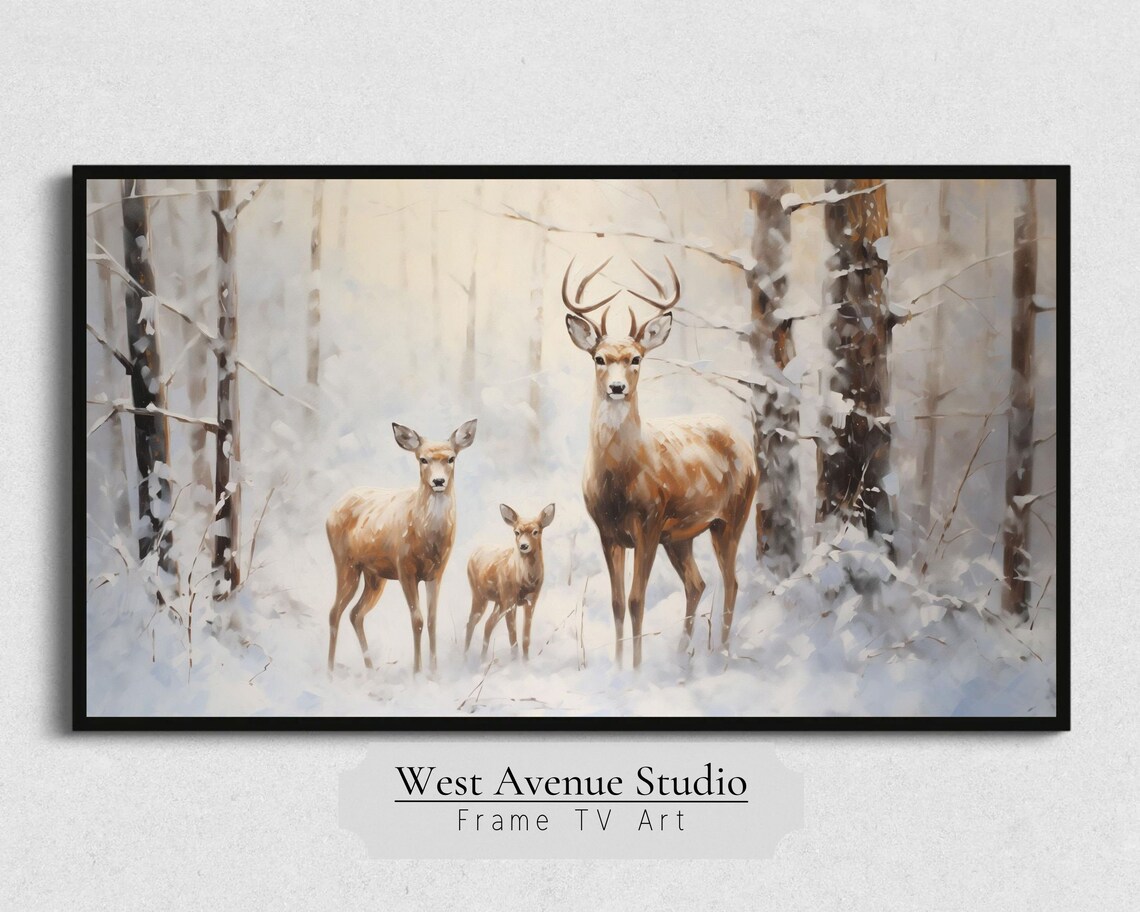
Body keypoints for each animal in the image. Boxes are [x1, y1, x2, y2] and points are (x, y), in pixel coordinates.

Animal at [325, 419, 478, 674]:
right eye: (423, 459)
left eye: (451, 458)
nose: (438, 481)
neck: (428, 539)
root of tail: (331, 511)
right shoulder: (405, 568)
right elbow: (417, 620)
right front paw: (417, 673)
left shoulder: (436, 573)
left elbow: (432, 620)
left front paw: (434, 672)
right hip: (346, 563)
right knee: (334, 612)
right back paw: (330, 672)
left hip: (374, 576)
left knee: (355, 614)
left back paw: (370, 669)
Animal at [464, 503, 556, 661]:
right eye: (516, 532)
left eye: (536, 531)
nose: (523, 546)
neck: (525, 580)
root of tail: (473, 553)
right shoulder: (510, 601)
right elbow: (513, 638)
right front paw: (515, 663)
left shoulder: (531, 600)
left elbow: (525, 638)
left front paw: (525, 662)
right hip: (480, 595)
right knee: (471, 623)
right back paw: (465, 658)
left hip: (498, 602)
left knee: (488, 624)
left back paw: (482, 659)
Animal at [562, 257, 758, 669]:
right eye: (599, 358)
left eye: (636, 358)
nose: (617, 387)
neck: (619, 479)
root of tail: (743, 442)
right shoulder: (607, 530)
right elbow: (618, 603)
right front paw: (619, 665)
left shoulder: (649, 521)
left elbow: (637, 600)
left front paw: (636, 668)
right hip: (681, 535)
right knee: (697, 583)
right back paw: (684, 653)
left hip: (731, 516)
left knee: (730, 582)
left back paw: (723, 652)